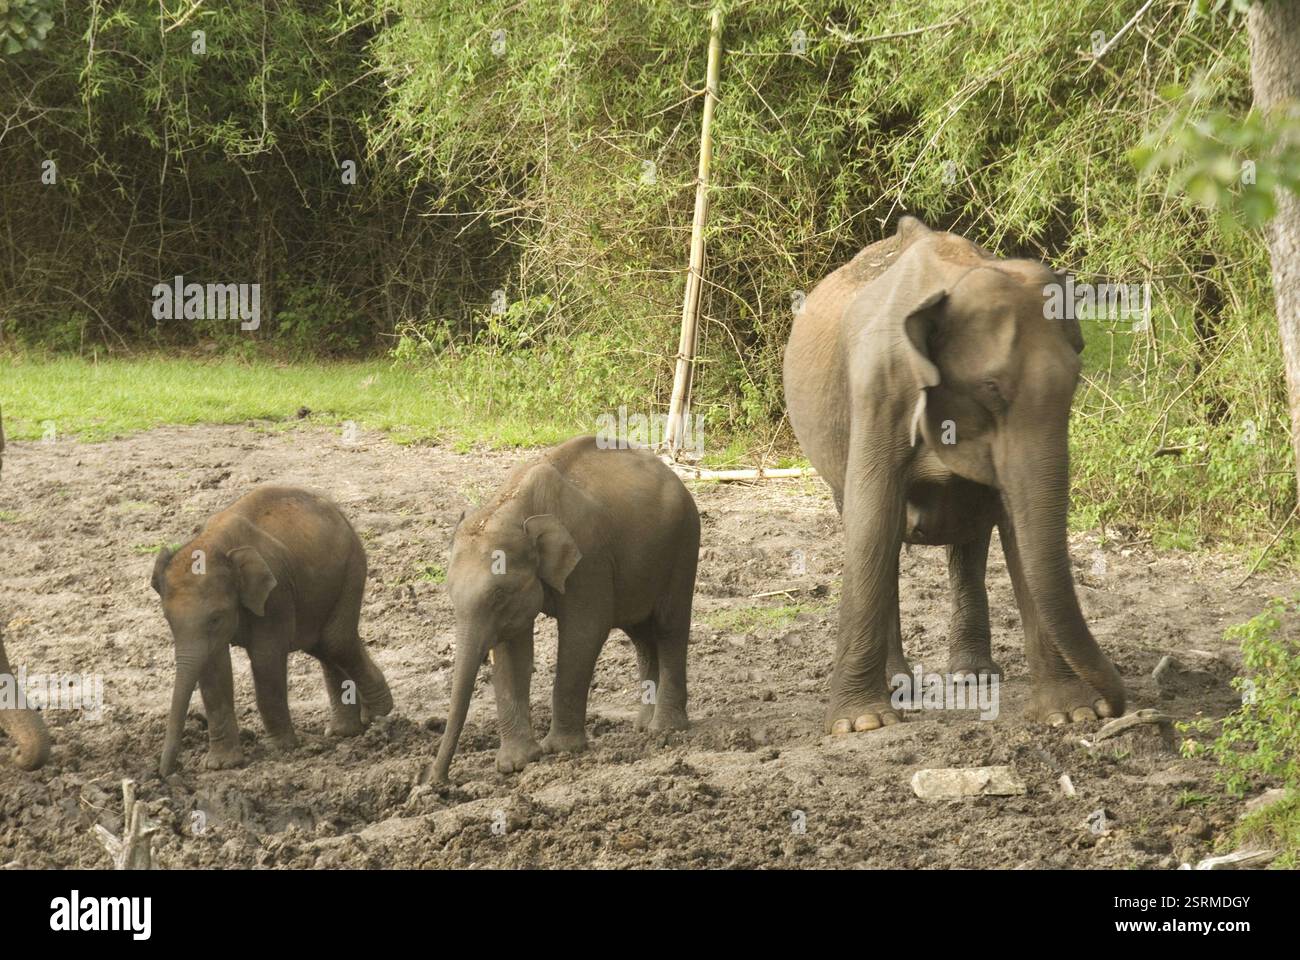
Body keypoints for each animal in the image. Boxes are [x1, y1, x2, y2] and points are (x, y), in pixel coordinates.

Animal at [152, 485, 393, 776]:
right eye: (168, 619)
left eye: (216, 618)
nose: (166, 773)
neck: (216, 544)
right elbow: (213, 669)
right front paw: (221, 765)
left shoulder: (275, 594)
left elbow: (266, 658)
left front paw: (278, 748)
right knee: (324, 646)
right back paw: (344, 731)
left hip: (352, 568)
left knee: (335, 641)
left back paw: (379, 714)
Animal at [425, 435, 700, 783]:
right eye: (450, 596)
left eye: (499, 595)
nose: (435, 782)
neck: (515, 506)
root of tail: (673, 473)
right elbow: (511, 648)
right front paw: (517, 764)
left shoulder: (589, 558)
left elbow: (584, 632)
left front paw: (560, 750)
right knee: (641, 636)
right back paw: (642, 726)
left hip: (684, 545)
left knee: (669, 627)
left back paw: (665, 729)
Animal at [783, 216, 1126, 735]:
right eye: (991, 388)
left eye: (1074, 384)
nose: (1116, 706)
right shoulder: (878, 391)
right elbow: (873, 522)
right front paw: (863, 724)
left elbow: (1017, 525)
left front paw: (1072, 713)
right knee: (872, 530)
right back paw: (899, 683)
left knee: (970, 540)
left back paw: (973, 676)